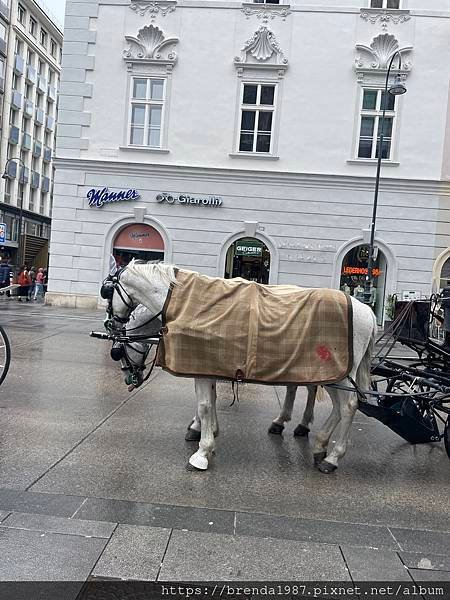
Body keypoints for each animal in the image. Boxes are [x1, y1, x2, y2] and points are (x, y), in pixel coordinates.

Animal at [114, 304, 318, 440]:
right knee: (302, 388)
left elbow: (206, 398)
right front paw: (205, 427)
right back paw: (288, 423)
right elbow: (210, 396)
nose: (128, 380)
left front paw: (199, 428)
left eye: (118, 351)